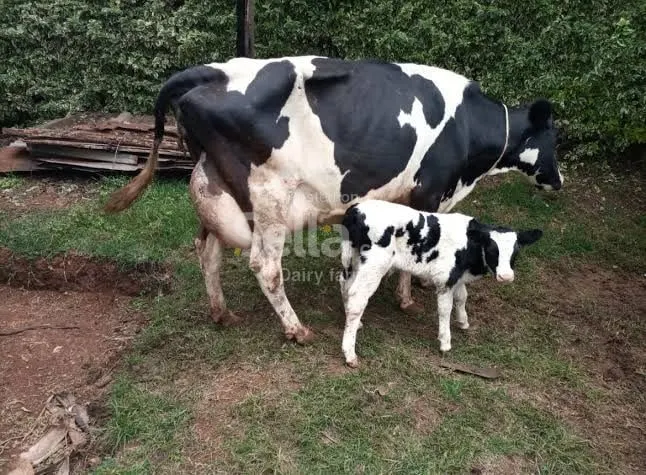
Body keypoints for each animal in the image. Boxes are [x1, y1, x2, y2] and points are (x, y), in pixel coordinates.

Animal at [103, 55, 563, 345]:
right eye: (554, 138)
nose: (559, 181)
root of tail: (210, 72)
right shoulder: (431, 191)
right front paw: (408, 297)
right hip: (269, 196)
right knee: (264, 266)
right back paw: (296, 330)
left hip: (219, 191)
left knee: (208, 250)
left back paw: (221, 313)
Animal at [339, 199, 543, 367]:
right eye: (492, 249)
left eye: (516, 251)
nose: (506, 276)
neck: (469, 245)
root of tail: (356, 210)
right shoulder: (445, 279)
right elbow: (445, 309)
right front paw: (445, 341)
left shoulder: (457, 275)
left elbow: (462, 297)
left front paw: (463, 321)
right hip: (374, 264)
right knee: (357, 297)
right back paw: (350, 354)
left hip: (353, 260)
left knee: (345, 284)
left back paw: (354, 323)